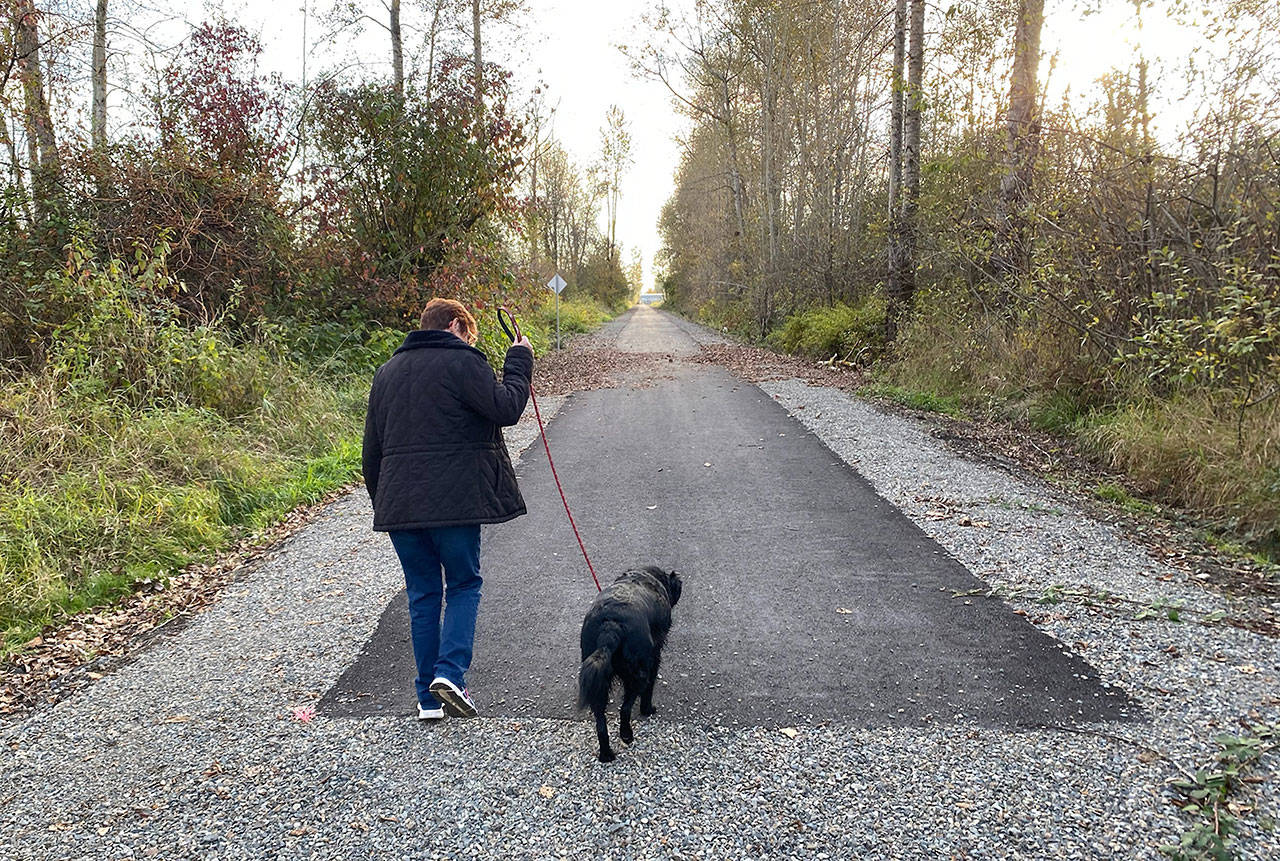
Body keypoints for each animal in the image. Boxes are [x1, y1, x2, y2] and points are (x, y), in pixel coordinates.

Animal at [578, 568, 680, 762]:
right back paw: (627, 735)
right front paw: (648, 709)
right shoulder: (654, 657)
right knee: (625, 709)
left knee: (600, 721)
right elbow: (649, 689)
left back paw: (606, 754)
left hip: (599, 681)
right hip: (638, 673)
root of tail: (610, 626)